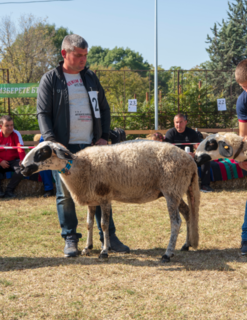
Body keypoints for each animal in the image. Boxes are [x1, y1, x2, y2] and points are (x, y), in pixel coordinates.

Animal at [20, 140, 200, 262]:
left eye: (43, 152)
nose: (21, 168)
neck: (81, 166)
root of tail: (190, 161)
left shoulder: (105, 197)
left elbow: (104, 225)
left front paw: (104, 251)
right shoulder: (92, 199)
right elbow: (89, 224)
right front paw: (87, 248)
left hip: (171, 189)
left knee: (175, 222)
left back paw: (167, 254)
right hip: (175, 191)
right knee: (187, 213)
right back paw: (186, 245)